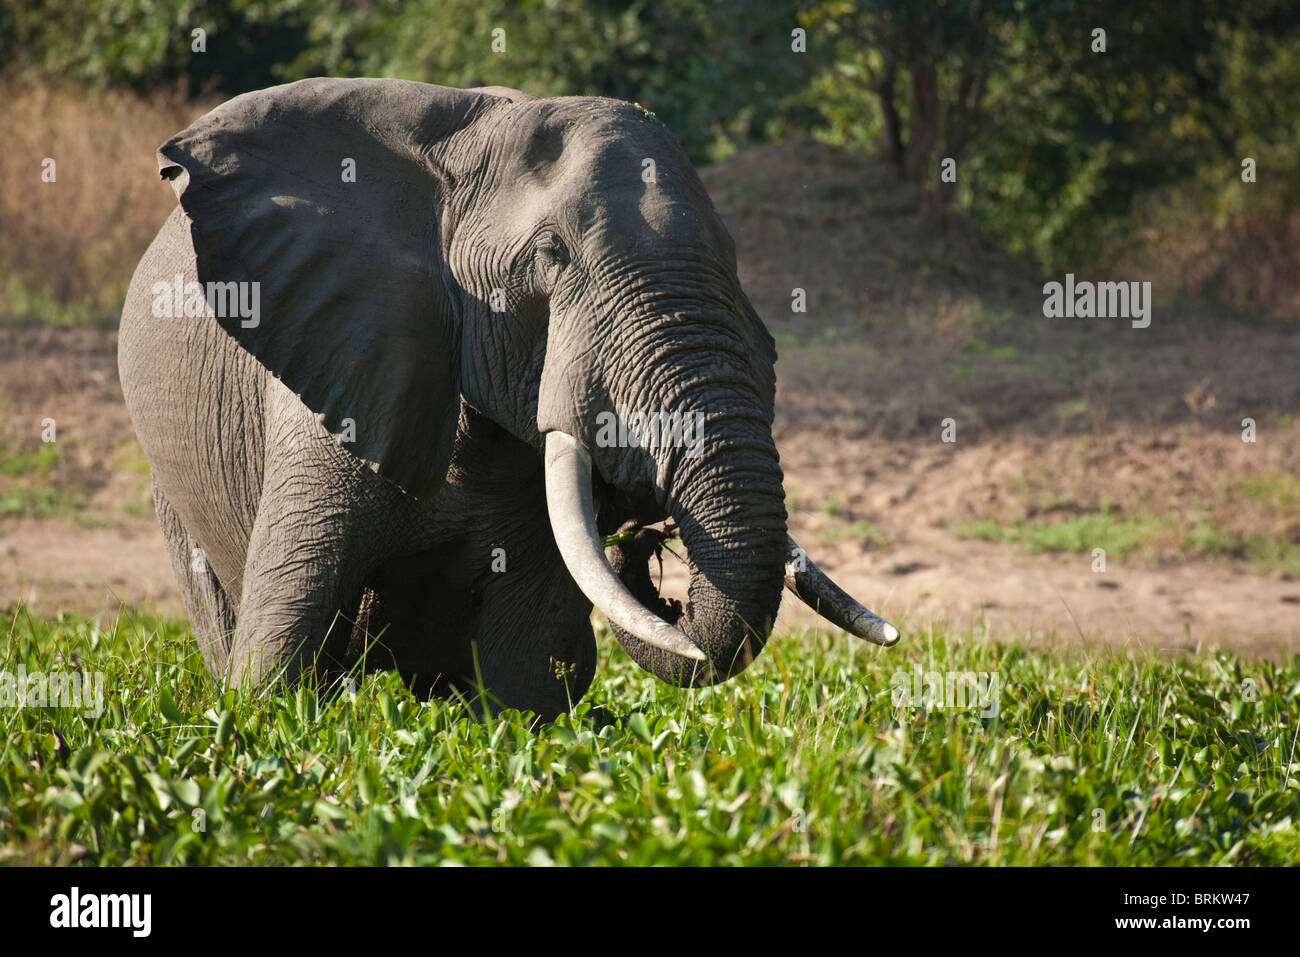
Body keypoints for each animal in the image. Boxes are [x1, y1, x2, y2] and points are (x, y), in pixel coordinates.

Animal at [118, 77, 899, 719]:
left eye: (732, 260)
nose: (646, 551)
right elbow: (276, 654)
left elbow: (526, 674)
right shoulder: (338, 367)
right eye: (551, 255)